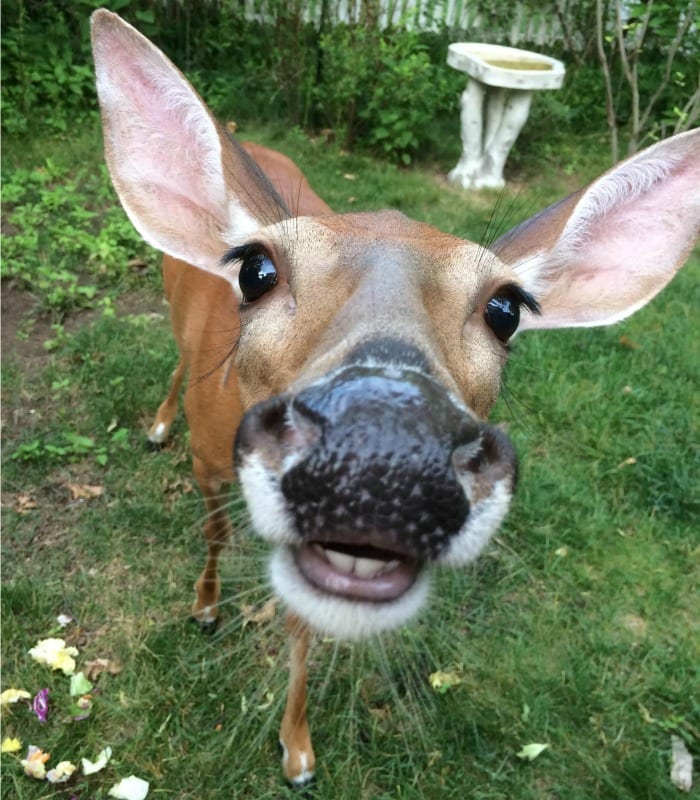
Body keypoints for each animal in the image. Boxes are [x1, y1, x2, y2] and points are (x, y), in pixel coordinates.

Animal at [90, 9, 699, 786]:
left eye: (506, 308)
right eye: (257, 269)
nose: (384, 446)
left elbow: (302, 620)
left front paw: (297, 750)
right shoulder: (210, 460)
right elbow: (216, 531)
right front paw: (203, 607)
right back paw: (159, 423)